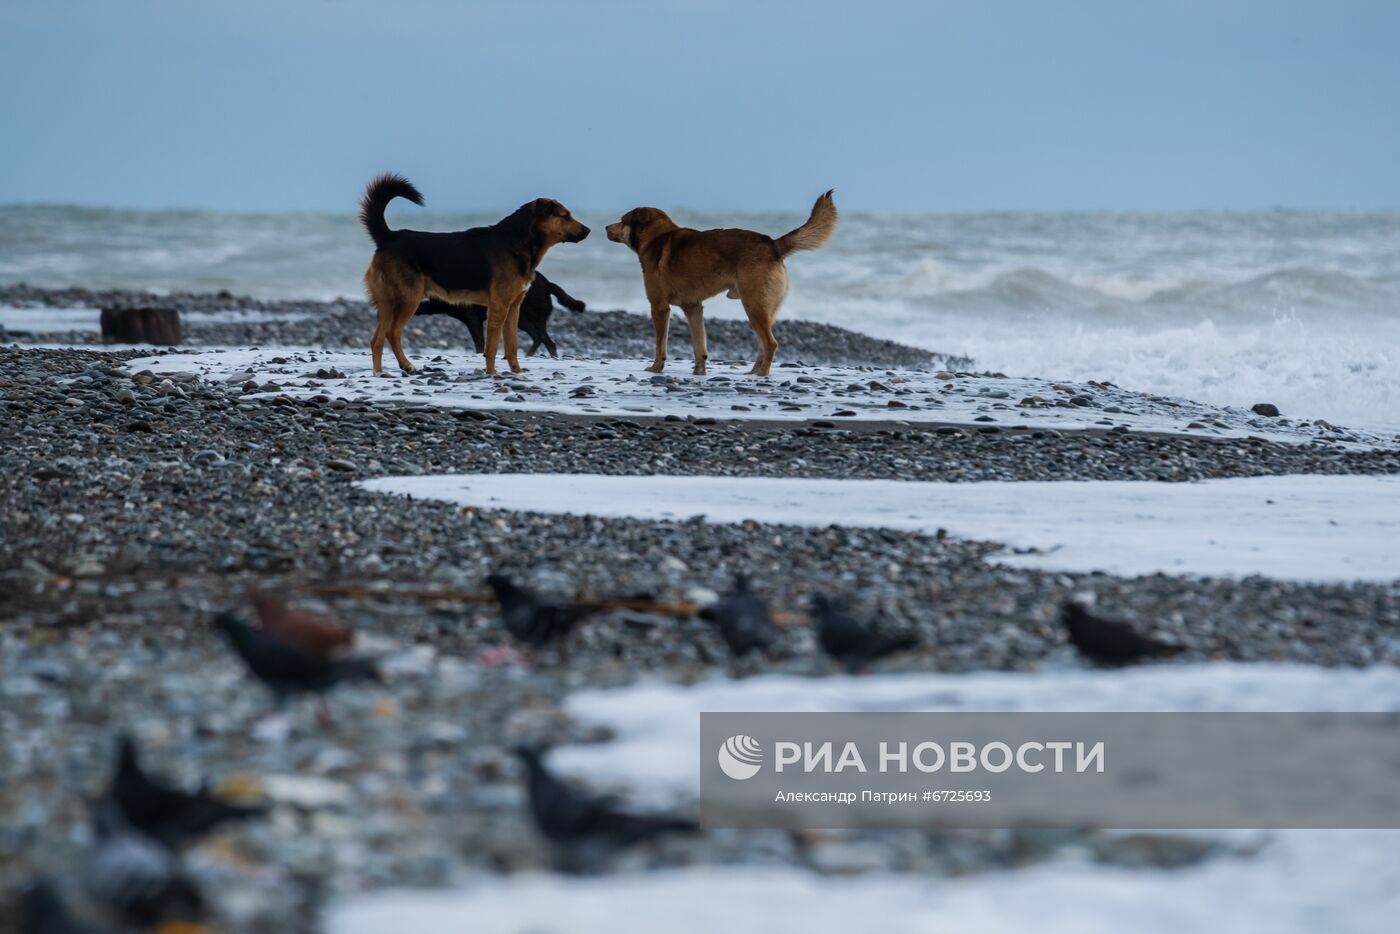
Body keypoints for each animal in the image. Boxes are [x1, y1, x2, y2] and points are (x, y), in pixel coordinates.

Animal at [417, 271, 588, 361]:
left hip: (522, 317)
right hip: (539, 318)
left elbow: (479, 342)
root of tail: (548, 284)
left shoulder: (472, 318)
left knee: (539, 337)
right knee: (548, 341)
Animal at [604, 190, 840, 375]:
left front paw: (656, 368)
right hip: (762, 309)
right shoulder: (693, 308)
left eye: (622, 220)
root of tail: (773, 244)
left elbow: (660, 345)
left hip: (753, 305)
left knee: (770, 343)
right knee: (763, 344)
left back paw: (762, 374)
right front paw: (699, 371)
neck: (656, 237)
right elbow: (700, 345)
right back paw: (753, 371)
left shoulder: (659, 307)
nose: (606, 227)